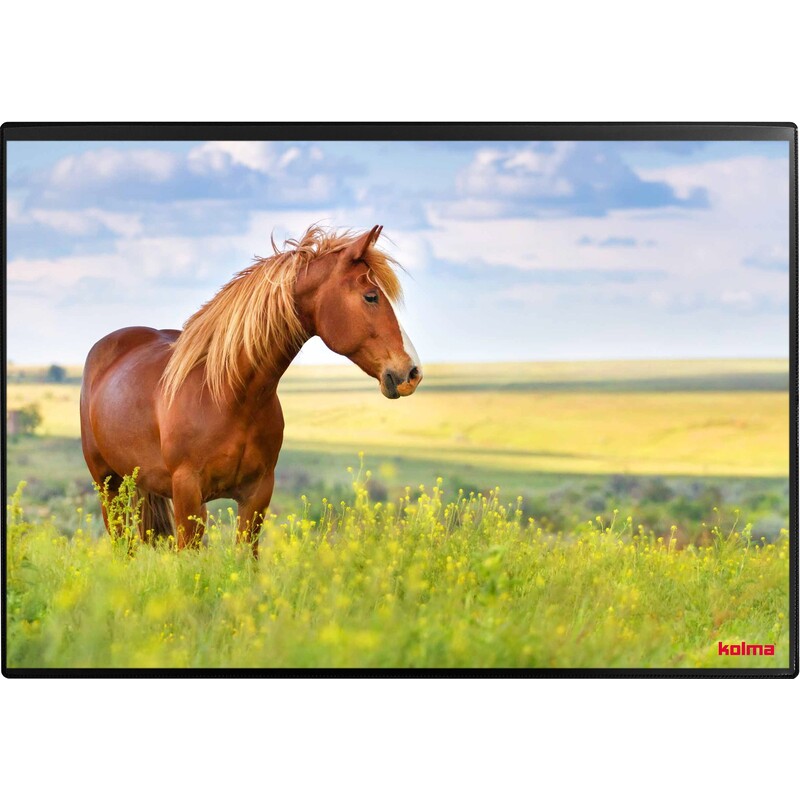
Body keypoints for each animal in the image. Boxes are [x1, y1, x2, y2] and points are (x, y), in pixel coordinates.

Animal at [79, 224, 422, 555]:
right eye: (371, 296)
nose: (412, 372)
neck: (229, 396)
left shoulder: (257, 494)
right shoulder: (187, 493)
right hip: (108, 486)